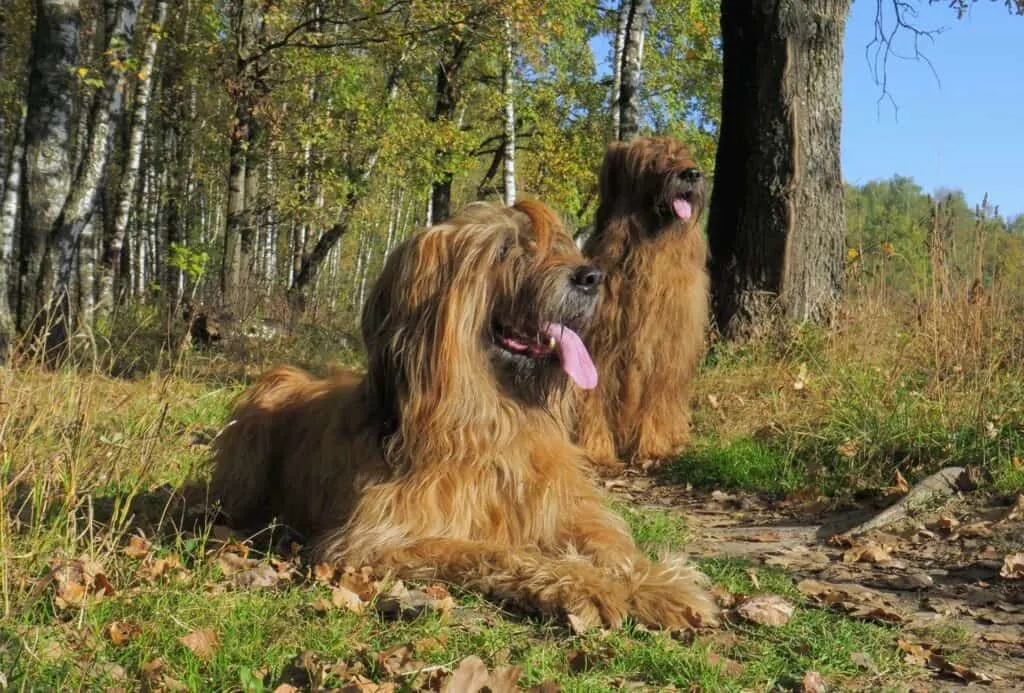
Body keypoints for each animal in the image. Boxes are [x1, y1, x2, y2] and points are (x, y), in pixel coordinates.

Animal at [210, 201, 716, 630]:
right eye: (506, 251)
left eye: (557, 245)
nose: (592, 277)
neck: (493, 416)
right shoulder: (378, 539)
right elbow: (496, 552)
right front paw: (585, 584)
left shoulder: (559, 506)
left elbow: (607, 539)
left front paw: (657, 583)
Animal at [577, 136, 712, 470]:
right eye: (654, 159)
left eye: (684, 153)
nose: (692, 174)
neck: (650, 251)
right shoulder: (601, 349)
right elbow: (594, 399)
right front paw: (596, 450)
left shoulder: (667, 353)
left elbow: (657, 400)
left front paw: (654, 448)